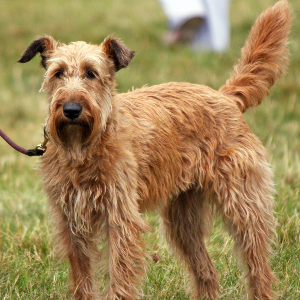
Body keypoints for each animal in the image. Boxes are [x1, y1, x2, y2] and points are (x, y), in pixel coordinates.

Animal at [18, 1, 290, 298]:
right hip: (183, 221)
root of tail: (225, 97)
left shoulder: (120, 217)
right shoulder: (70, 221)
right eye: (57, 73)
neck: (83, 150)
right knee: (207, 272)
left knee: (259, 269)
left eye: (91, 73)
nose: (71, 110)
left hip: (244, 206)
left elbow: (120, 276)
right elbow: (82, 279)